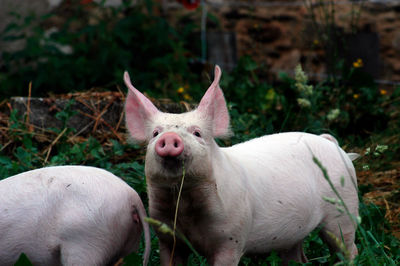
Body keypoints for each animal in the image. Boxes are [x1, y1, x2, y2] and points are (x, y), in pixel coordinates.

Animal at [124, 65, 360, 264]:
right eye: (155, 133)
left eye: (197, 133)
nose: (170, 137)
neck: (184, 205)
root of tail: (332, 144)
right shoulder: (166, 237)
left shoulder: (231, 238)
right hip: (295, 233)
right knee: (297, 256)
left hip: (343, 207)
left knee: (349, 245)